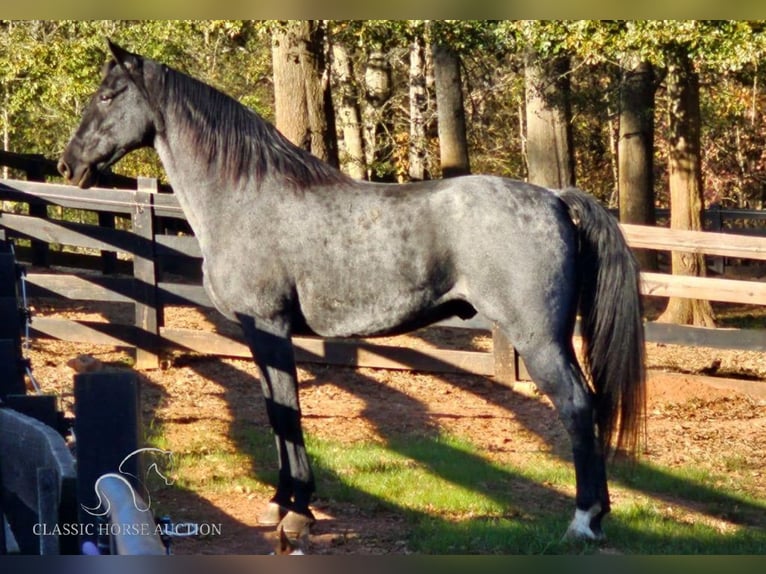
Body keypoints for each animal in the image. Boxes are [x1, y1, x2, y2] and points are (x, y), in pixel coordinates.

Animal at [58, 40, 648, 544]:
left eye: (108, 95)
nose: (69, 164)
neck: (245, 197)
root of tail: (553, 197)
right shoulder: (260, 333)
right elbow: (276, 408)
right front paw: (282, 502)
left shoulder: (268, 326)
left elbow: (287, 412)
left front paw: (297, 512)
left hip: (540, 340)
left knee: (577, 407)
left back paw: (584, 522)